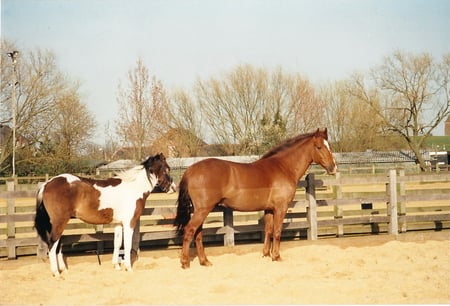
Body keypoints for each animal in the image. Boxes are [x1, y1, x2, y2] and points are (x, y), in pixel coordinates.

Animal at [35, 154, 174, 276]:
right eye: (167, 169)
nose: (173, 187)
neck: (133, 187)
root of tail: (47, 184)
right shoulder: (130, 223)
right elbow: (127, 245)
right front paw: (128, 268)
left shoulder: (118, 223)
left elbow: (117, 243)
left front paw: (117, 266)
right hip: (60, 222)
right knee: (52, 245)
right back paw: (56, 273)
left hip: (59, 223)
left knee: (57, 245)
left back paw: (64, 270)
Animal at [174, 128, 336, 268]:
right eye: (319, 147)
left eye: (329, 145)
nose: (333, 168)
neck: (283, 167)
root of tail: (191, 170)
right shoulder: (280, 208)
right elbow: (277, 232)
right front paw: (276, 256)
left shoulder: (269, 209)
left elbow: (268, 230)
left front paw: (266, 255)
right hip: (203, 210)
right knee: (189, 230)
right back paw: (185, 262)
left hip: (200, 210)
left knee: (198, 233)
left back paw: (204, 261)